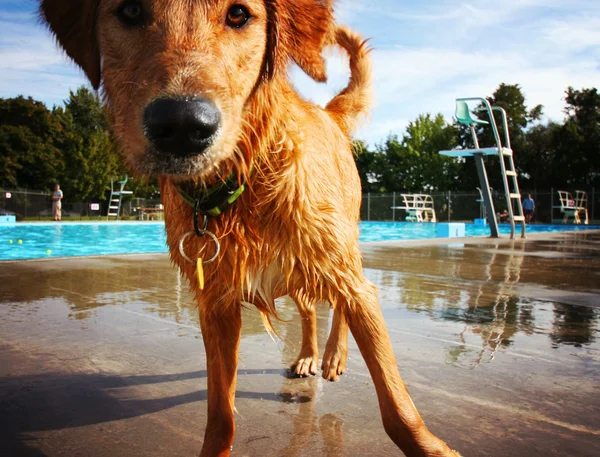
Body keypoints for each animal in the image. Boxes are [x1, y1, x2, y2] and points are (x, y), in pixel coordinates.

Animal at [41, 0, 460, 456]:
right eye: (130, 11)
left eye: (239, 14)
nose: (184, 125)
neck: (243, 180)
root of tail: (327, 112)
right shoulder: (216, 306)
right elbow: (220, 414)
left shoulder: (348, 281)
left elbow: (397, 406)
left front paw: (432, 447)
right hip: (297, 273)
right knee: (309, 310)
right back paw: (309, 355)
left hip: (338, 252)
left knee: (339, 305)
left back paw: (333, 355)